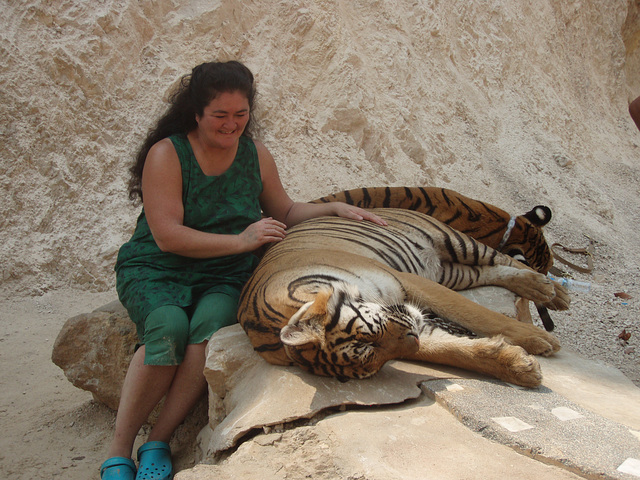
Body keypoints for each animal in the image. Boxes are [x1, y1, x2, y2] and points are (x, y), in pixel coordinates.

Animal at [238, 208, 568, 388]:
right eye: (372, 357)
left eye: (370, 337)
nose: (413, 340)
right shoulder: (413, 318)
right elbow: (449, 349)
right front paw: (519, 367)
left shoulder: (407, 280)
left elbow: (476, 314)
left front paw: (538, 340)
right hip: (452, 272)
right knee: (494, 270)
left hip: (454, 242)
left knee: (511, 261)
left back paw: (553, 291)